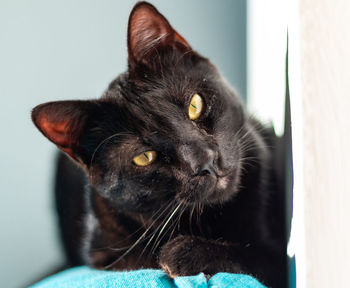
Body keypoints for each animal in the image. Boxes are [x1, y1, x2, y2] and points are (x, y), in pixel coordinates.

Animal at [31, 1, 286, 286]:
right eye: (145, 157)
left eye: (195, 105)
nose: (206, 160)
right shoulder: (105, 259)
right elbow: (143, 259)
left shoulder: (279, 257)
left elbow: (251, 258)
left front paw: (185, 252)